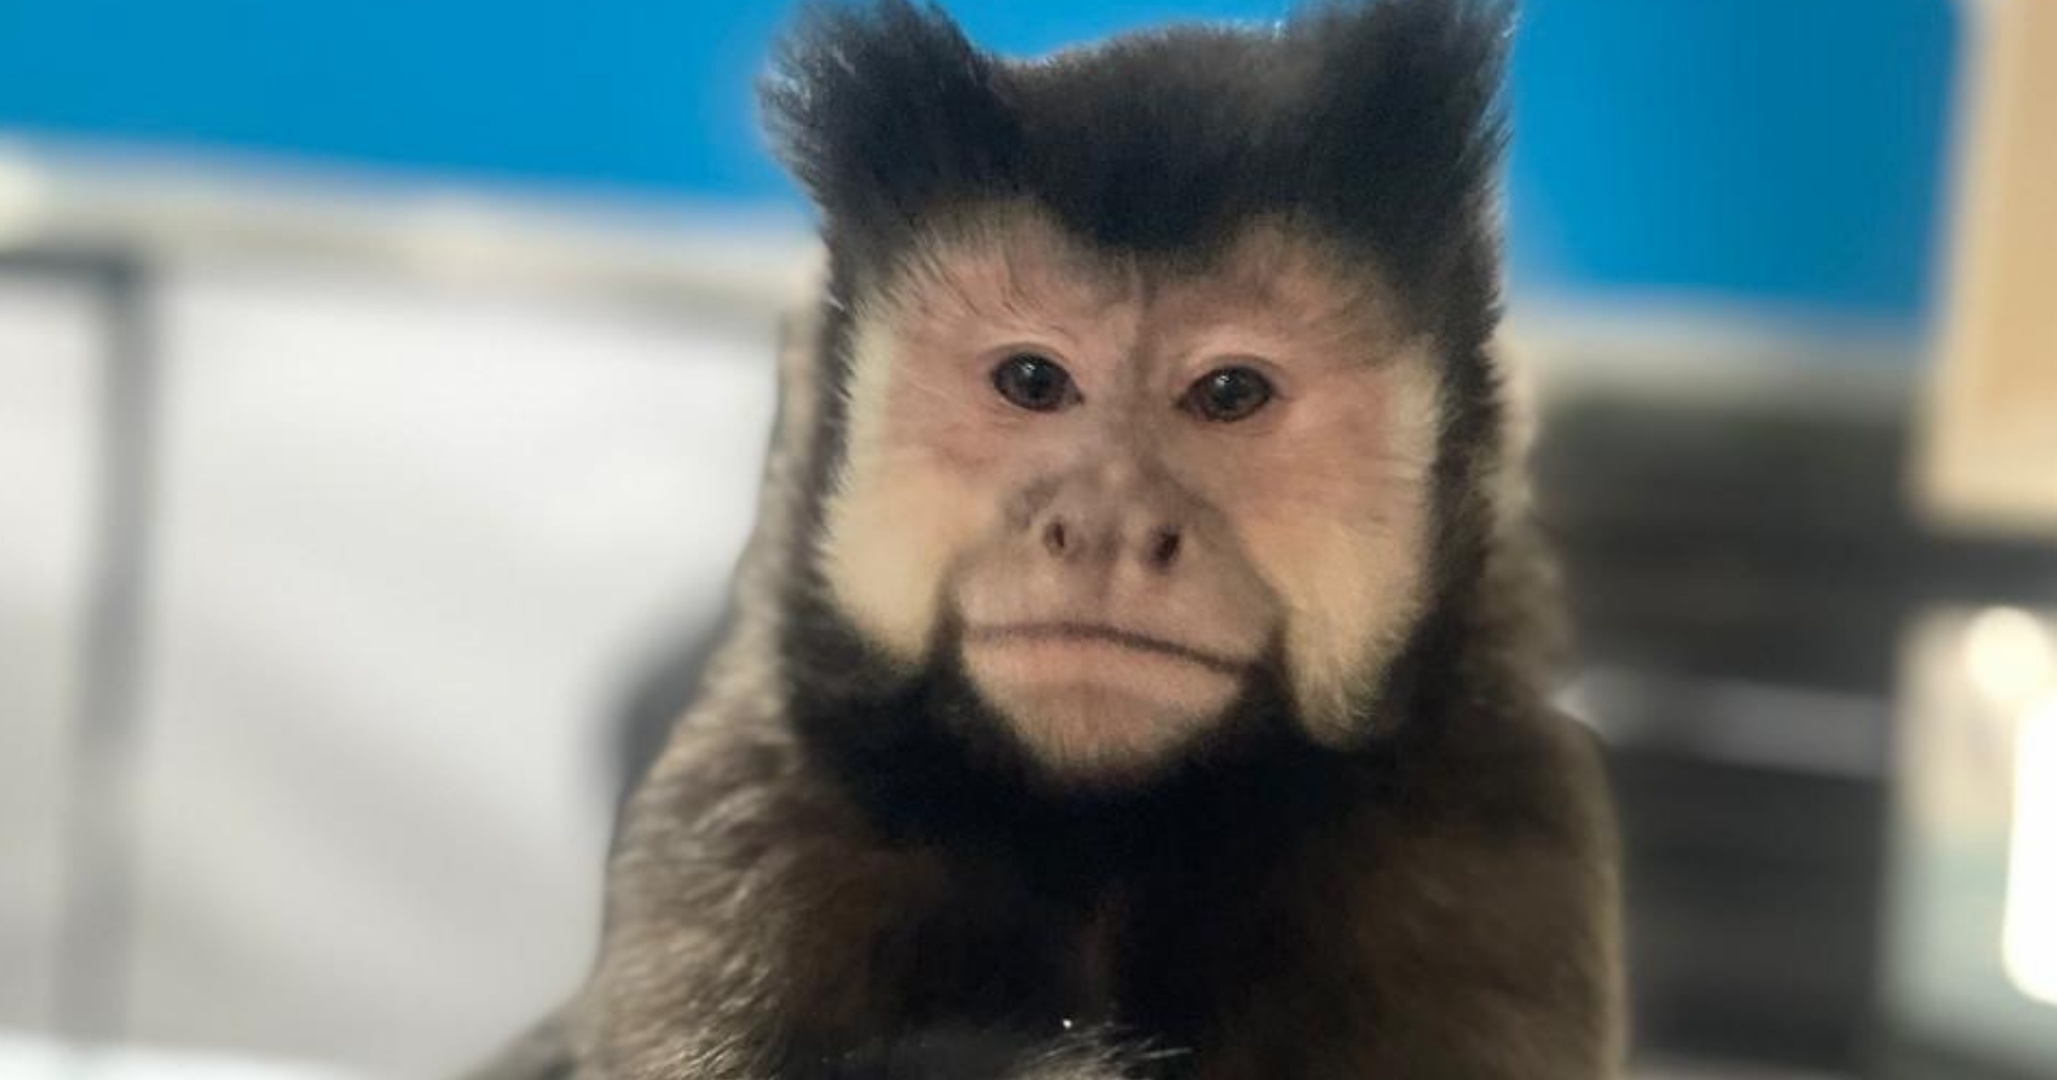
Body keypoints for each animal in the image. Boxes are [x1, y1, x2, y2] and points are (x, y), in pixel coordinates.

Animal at [466, 0, 1624, 1077]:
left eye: (1228, 393)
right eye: (1032, 380)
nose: (1105, 526)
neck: (1107, 838)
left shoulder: (1496, 843)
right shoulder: (741, 823)